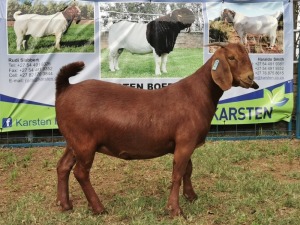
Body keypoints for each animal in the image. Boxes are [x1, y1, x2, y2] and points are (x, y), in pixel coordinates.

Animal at [55, 42, 258, 218]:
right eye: (231, 57)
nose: (250, 78)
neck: (198, 94)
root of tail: (65, 88)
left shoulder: (185, 143)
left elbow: (188, 170)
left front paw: (191, 196)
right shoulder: (185, 142)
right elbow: (178, 174)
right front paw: (175, 209)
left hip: (72, 141)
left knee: (63, 166)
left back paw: (65, 204)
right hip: (84, 142)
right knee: (80, 173)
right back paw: (98, 208)